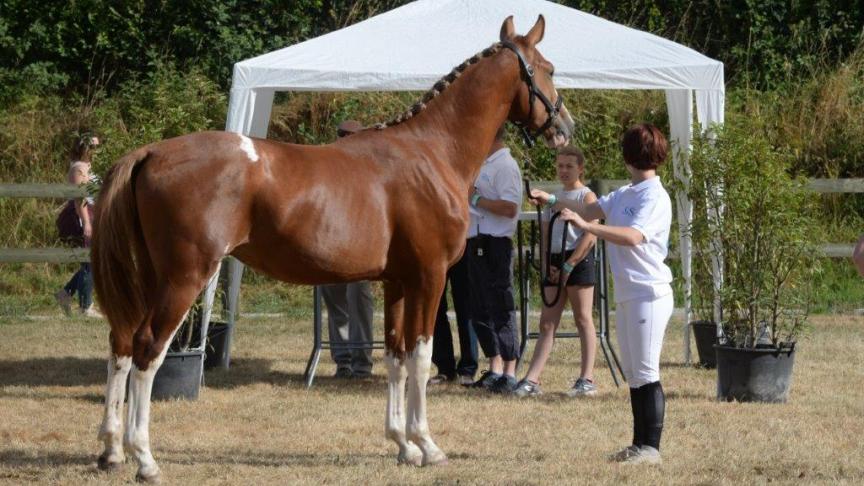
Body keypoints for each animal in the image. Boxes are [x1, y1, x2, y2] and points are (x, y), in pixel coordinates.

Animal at [91, 15, 572, 482]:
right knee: (148, 351)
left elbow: (396, 356)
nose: (566, 129)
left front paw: (402, 446)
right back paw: (145, 458)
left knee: (121, 345)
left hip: (153, 278)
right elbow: (421, 356)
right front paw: (428, 446)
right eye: (548, 69)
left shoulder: (398, 282)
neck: (432, 152)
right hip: (185, 278)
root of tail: (151, 152)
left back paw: (112, 452)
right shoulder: (430, 277)